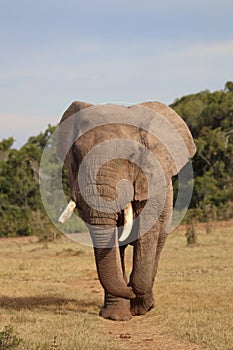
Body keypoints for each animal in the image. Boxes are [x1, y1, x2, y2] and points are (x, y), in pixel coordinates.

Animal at [56, 100, 197, 320]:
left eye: (131, 155)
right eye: (77, 155)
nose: (128, 288)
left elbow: (148, 230)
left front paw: (136, 299)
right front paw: (117, 315)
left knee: (157, 244)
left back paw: (143, 306)